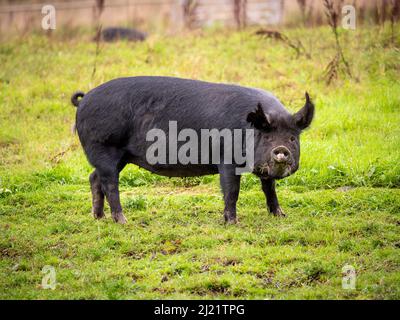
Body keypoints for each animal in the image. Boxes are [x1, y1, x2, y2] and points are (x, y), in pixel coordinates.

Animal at [72, 76, 316, 224]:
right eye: (266, 137)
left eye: (292, 138)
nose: (281, 149)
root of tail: (84, 100)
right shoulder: (226, 159)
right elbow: (231, 191)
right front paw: (232, 222)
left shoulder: (264, 171)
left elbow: (269, 189)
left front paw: (280, 215)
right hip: (104, 148)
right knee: (109, 183)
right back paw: (122, 220)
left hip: (119, 156)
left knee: (94, 178)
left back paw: (98, 217)